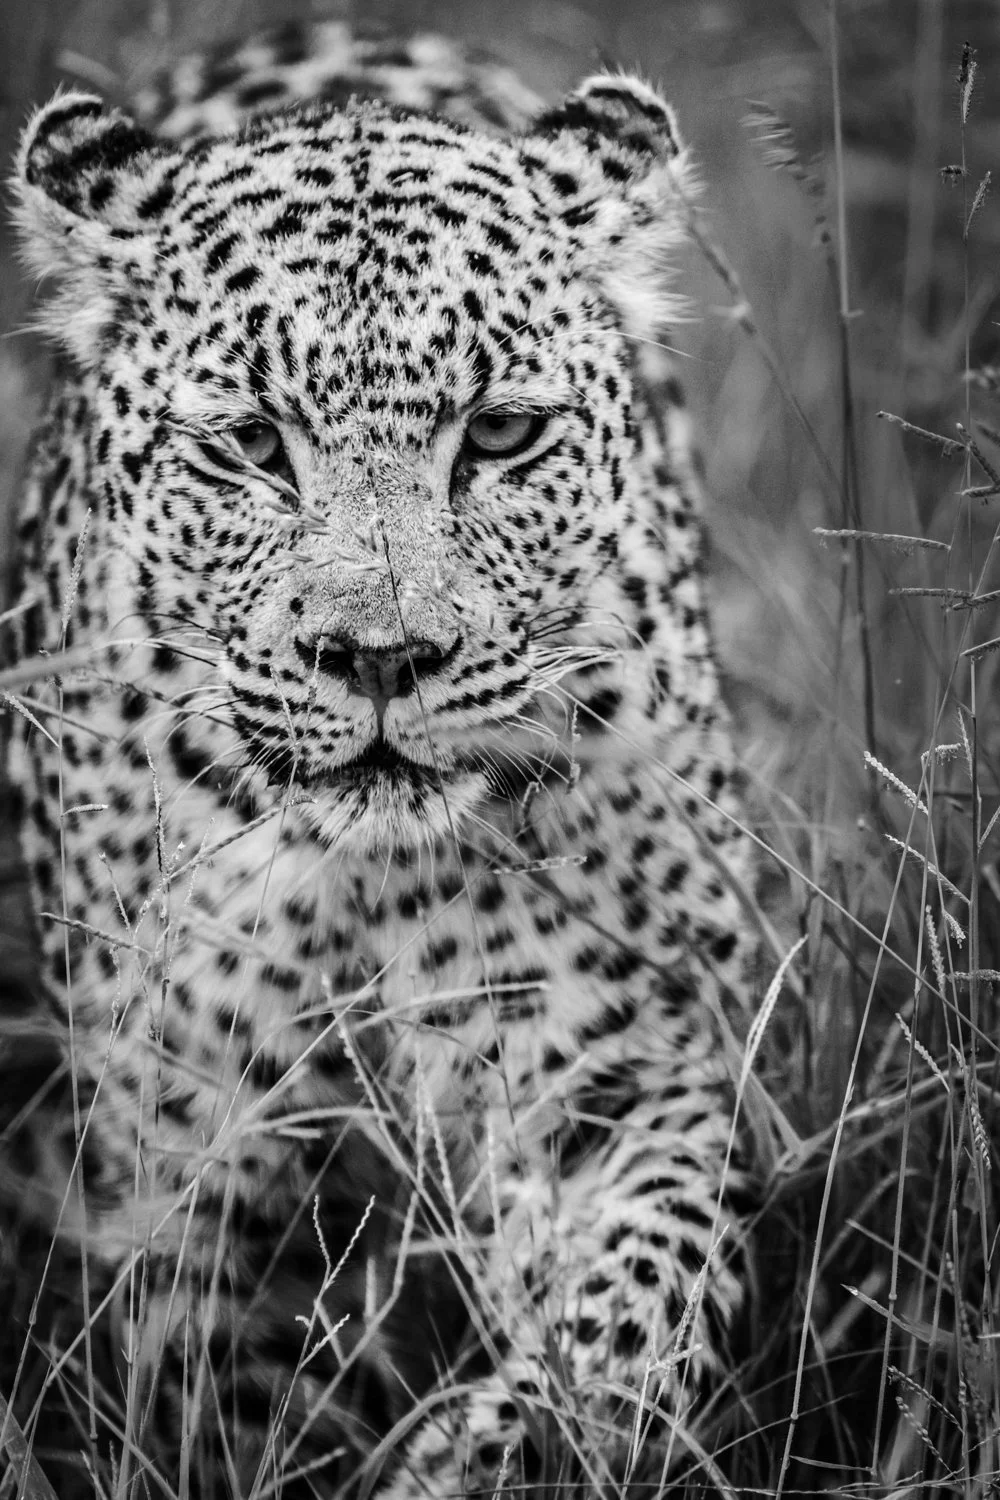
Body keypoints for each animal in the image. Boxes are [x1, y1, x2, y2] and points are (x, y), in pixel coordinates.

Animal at [1, 20, 759, 1500]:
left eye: (503, 434)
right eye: (249, 444)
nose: (380, 657)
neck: (367, 885)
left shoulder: (639, 1058)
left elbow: (648, 1294)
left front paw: (492, 1447)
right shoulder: (192, 1167)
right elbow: (225, 1402)